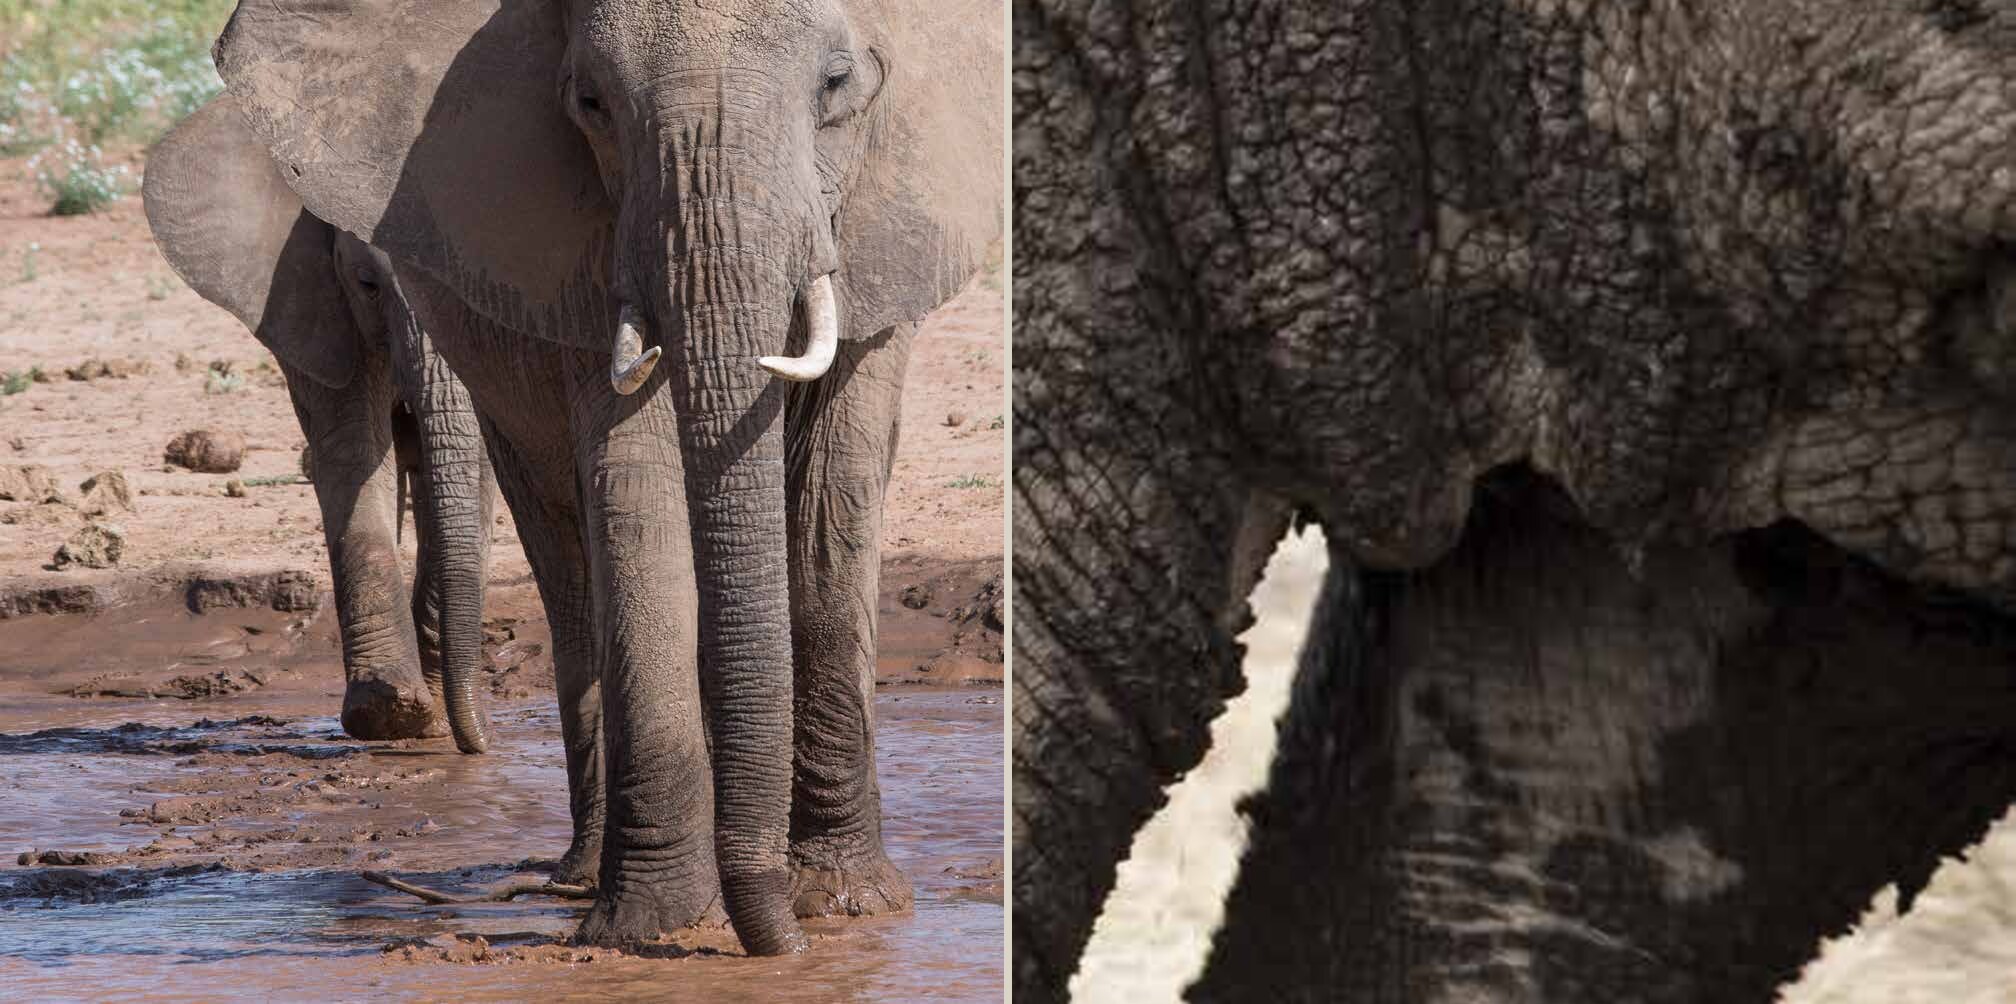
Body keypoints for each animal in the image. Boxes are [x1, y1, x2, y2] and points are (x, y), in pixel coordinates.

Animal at [144, 96, 497, 754]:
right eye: (367, 284)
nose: (477, 744)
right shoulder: (309, 301)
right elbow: (355, 449)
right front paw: (393, 714)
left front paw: (417, 716)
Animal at [208, 0, 1002, 956]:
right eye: (591, 103)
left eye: (838, 82)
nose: (784, 947)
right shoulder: (579, 259)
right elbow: (637, 484)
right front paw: (655, 928)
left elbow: (832, 495)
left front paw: (844, 905)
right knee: (569, 564)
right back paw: (588, 878)